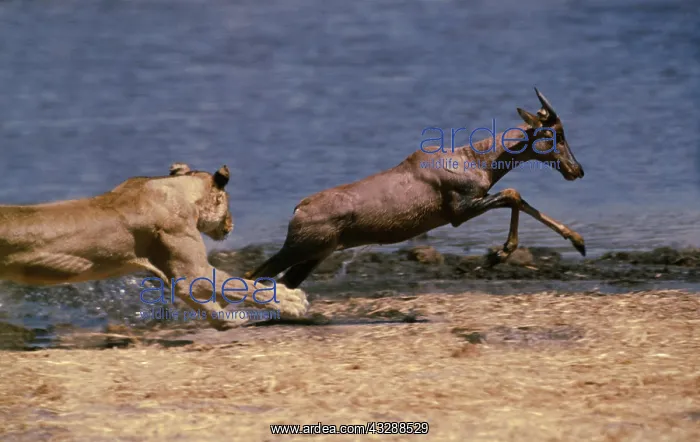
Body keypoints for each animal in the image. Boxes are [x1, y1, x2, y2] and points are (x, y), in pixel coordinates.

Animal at [0, 162, 309, 330]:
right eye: (227, 202)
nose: (231, 225)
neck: (178, 190)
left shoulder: (177, 275)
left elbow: (206, 301)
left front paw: (228, 320)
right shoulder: (194, 269)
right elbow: (241, 284)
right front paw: (292, 300)